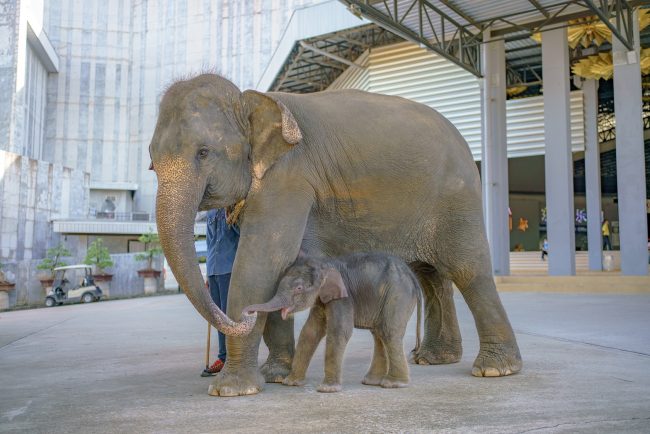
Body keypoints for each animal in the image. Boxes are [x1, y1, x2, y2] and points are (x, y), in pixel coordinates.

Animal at [243, 253, 423, 393]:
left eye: (299, 288)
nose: (248, 312)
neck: (324, 264)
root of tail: (412, 276)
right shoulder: (321, 299)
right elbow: (310, 332)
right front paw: (291, 383)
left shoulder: (343, 297)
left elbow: (339, 330)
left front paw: (326, 389)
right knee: (378, 333)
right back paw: (372, 382)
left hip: (398, 295)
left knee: (388, 331)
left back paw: (393, 384)